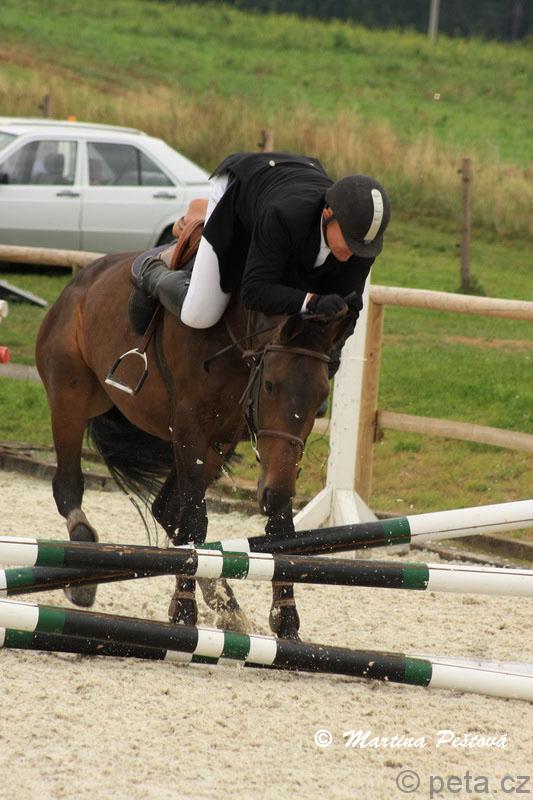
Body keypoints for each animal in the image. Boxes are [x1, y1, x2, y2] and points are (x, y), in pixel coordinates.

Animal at [35, 239, 356, 639]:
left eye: (321, 398)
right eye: (270, 386)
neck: (235, 339)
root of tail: (78, 284)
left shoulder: (257, 446)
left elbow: (278, 526)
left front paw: (286, 619)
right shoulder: (189, 428)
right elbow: (194, 521)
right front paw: (184, 613)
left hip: (218, 446)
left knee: (166, 509)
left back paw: (226, 603)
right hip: (73, 397)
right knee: (68, 485)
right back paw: (83, 574)